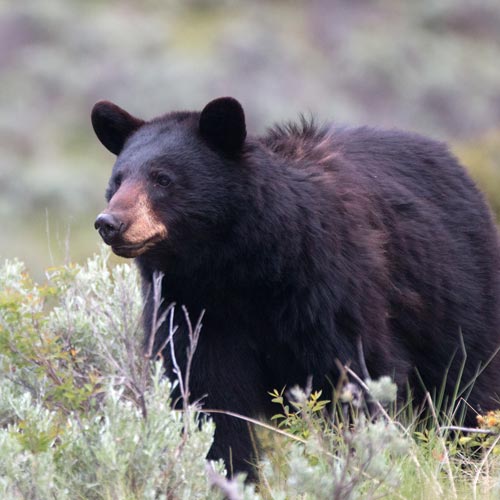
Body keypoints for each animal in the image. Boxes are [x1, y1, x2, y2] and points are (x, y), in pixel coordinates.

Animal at [92, 96, 500, 476]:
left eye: (163, 178)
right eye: (117, 180)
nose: (110, 223)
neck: (237, 269)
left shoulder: (328, 284)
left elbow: (355, 373)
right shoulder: (191, 308)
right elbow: (206, 396)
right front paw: (227, 472)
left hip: (458, 290)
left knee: (470, 381)